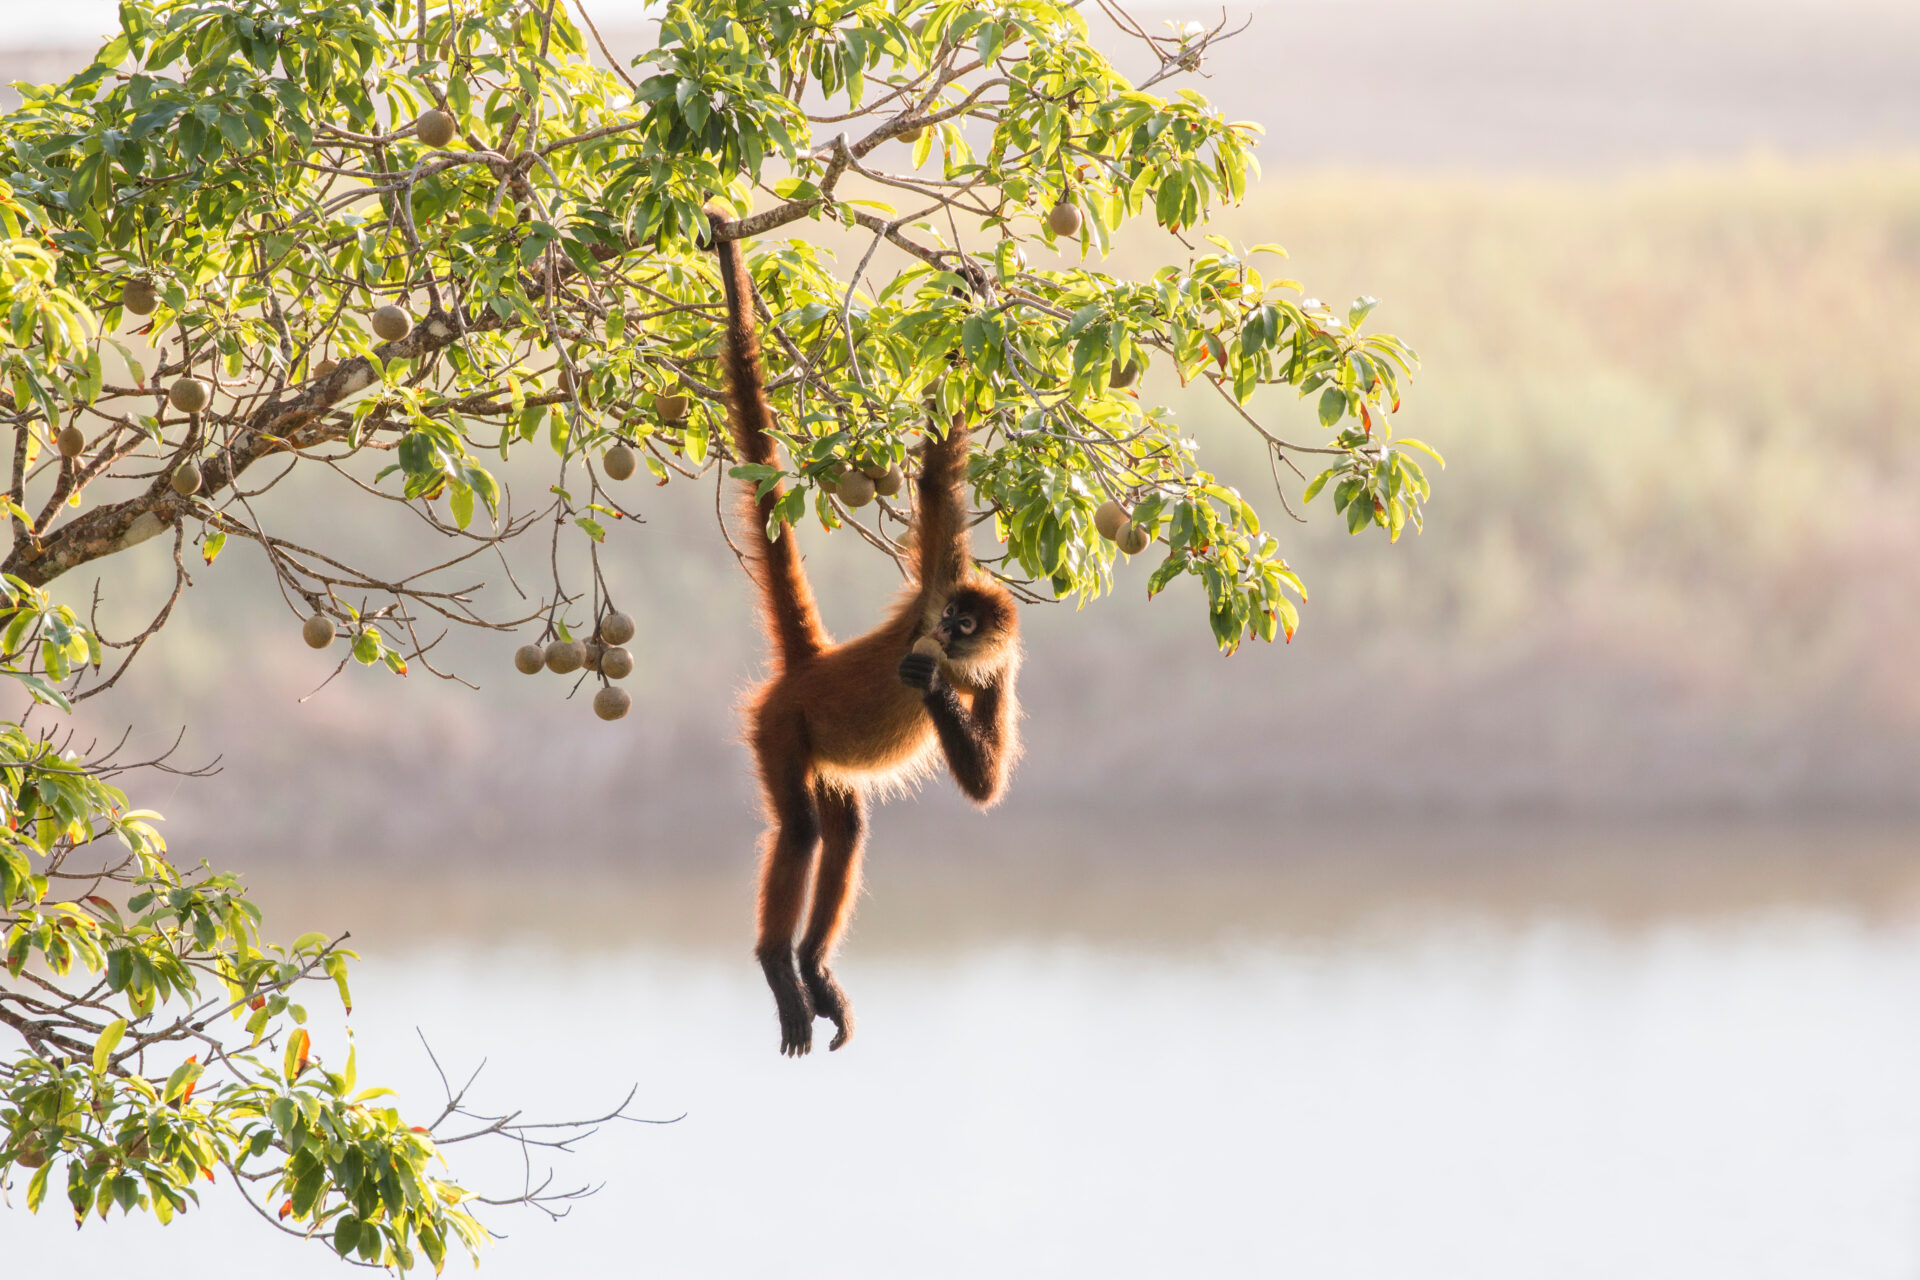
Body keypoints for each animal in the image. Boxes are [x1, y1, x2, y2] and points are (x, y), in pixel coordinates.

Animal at [712, 221, 1022, 1057]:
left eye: (967, 626)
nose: (943, 633)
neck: (958, 651)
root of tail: (808, 666)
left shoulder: (1000, 671)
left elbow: (985, 786)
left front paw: (938, 690)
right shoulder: (939, 575)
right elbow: (941, 476)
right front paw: (970, 294)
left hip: (821, 751)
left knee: (845, 829)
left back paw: (813, 966)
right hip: (780, 725)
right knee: (800, 829)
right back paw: (777, 964)